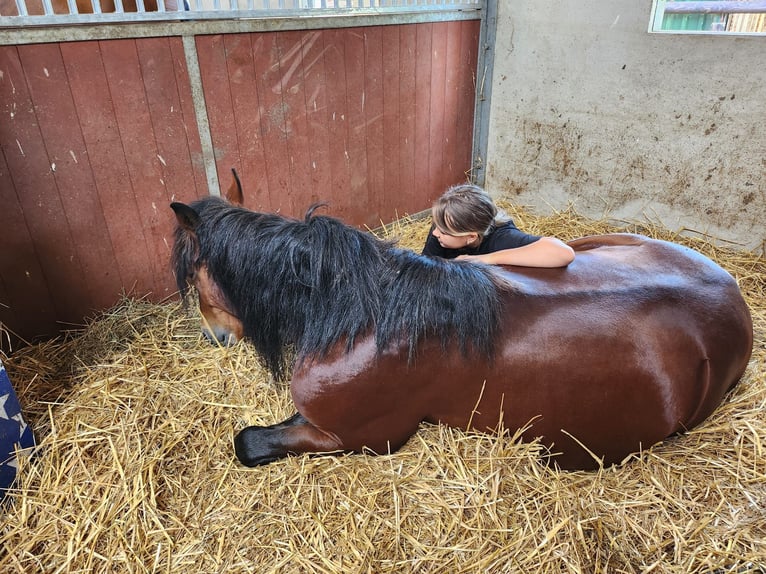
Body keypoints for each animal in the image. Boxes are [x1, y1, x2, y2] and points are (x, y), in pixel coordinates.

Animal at [170, 177, 756, 472]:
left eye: (194, 272)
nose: (214, 336)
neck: (367, 315)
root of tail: (732, 295)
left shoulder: (357, 436)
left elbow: (248, 443)